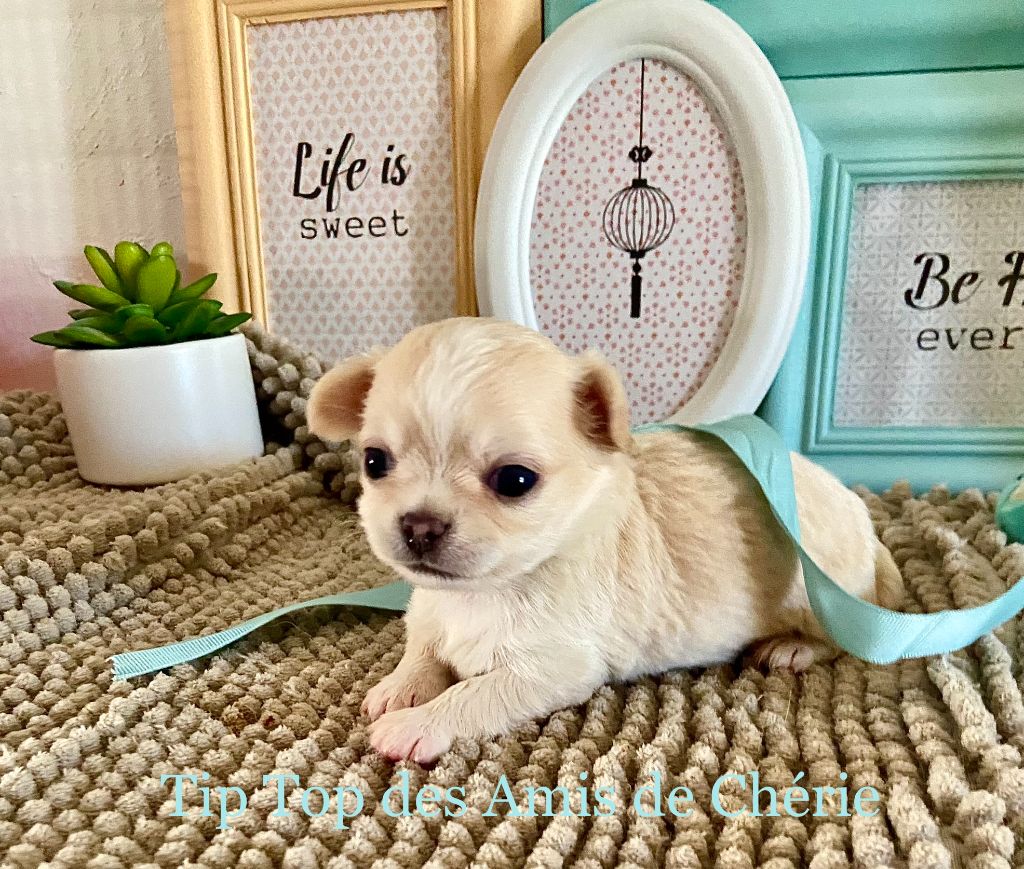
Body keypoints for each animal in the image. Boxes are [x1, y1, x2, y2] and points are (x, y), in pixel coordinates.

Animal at [307, 317, 902, 763]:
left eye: (514, 480)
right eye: (374, 462)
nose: (419, 526)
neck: (480, 595)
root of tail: (862, 522)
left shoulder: (550, 669)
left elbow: (474, 693)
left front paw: (419, 723)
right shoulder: (432, 616)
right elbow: (423, 651)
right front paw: (400, 686)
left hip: (818, 588)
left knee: (843, 633)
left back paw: (792, 646)